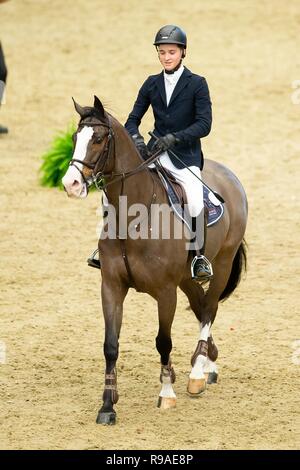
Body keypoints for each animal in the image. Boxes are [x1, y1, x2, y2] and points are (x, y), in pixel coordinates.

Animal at [62, 96, 247, 426]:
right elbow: (110, 345)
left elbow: (163, 341)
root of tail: (229, 175)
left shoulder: (165, 292)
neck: (134, 217)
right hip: (187, 278)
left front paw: (167, 393)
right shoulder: (111, 286)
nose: (70, 183)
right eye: (75, 138)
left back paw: (197, 374)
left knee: (209, 310)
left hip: (222, 264)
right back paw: (208, 364)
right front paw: (107, 406)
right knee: (200, 307)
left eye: (98, 139)